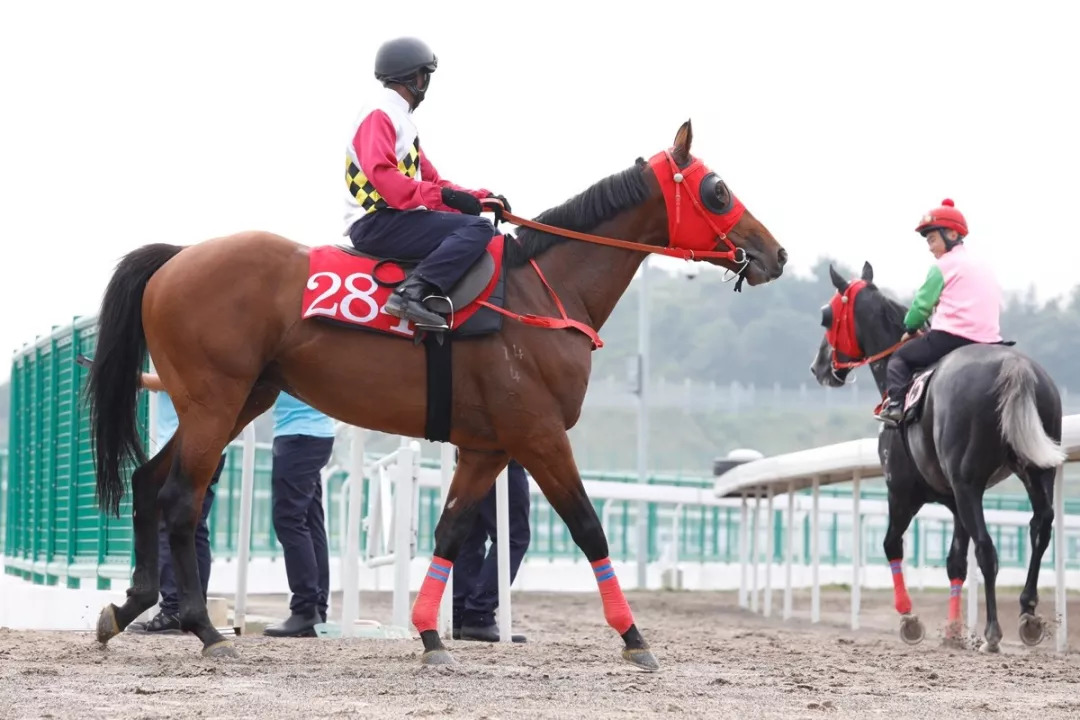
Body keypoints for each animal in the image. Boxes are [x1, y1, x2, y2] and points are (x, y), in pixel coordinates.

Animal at [84, 120, 790, 669]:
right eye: (718, 190)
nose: (776, 254)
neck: (542, 294)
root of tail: (177, 257)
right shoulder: (539, 435)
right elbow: (589, 527)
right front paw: (635, 637)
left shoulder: (487, 448)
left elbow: (451, 529)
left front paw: (429, 636)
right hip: (215, 401)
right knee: (180, 499)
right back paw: (205, 630)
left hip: (237, 400)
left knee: (149, 483)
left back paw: (128, 608)